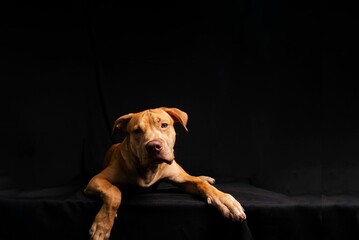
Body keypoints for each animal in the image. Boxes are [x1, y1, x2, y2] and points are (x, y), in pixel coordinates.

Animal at [84, 107, 248, 240]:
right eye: (137, 131)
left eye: (164, 125)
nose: (154, 146)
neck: (149, 169)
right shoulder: (97, 180)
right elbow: (114, 191)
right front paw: (102, 225)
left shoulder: (182, 179)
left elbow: (201, 184)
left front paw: (225, 200)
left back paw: (206, 178)